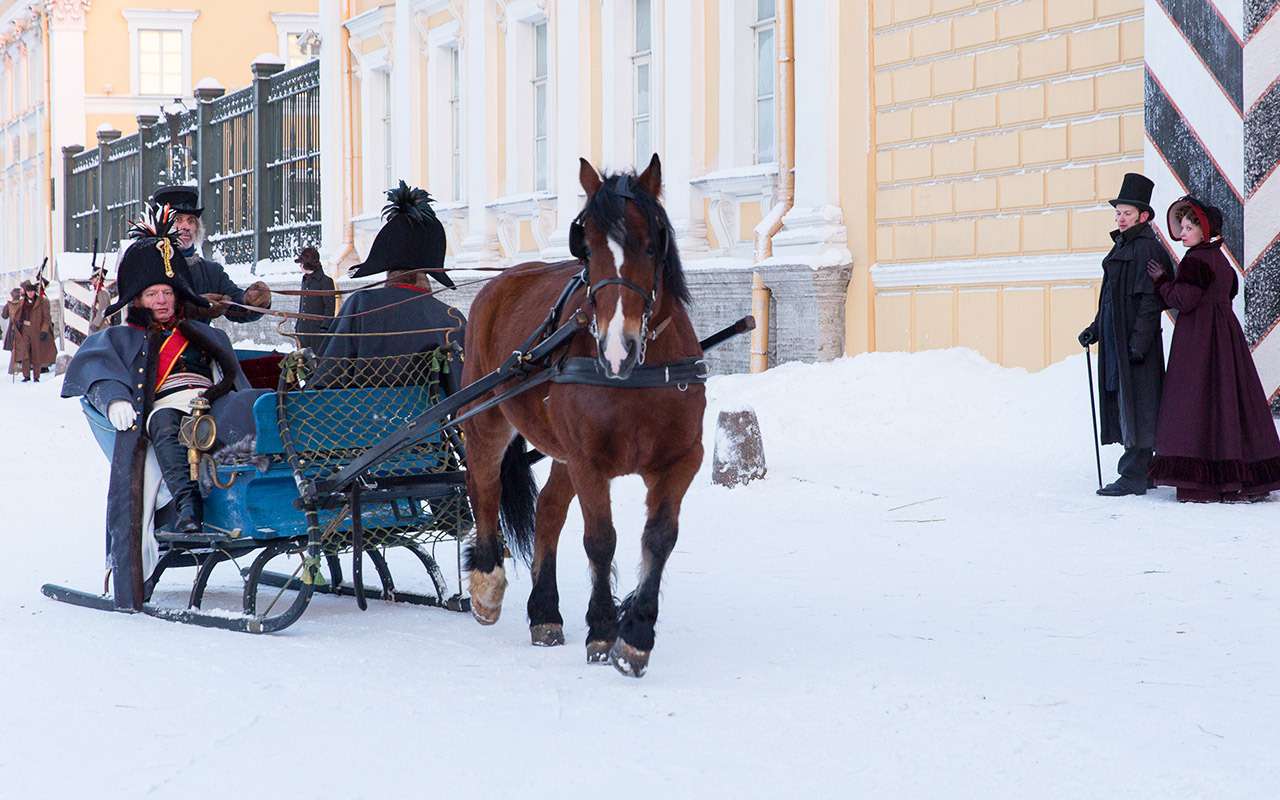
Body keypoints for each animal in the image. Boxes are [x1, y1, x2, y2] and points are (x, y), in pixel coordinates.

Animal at [460, 154, 706, 675]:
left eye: (652, 245)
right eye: (586, 249)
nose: (617, 348)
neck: (634, 377)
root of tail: (502, 279)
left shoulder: (681, 461)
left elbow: (659, 538)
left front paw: (636, 634)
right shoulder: (590, 462)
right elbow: (601, 539)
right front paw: (603, 628)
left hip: (560, 452)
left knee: (550, 510)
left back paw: (544, 612)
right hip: (487, 419)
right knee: (484, 486)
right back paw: (487, 584)